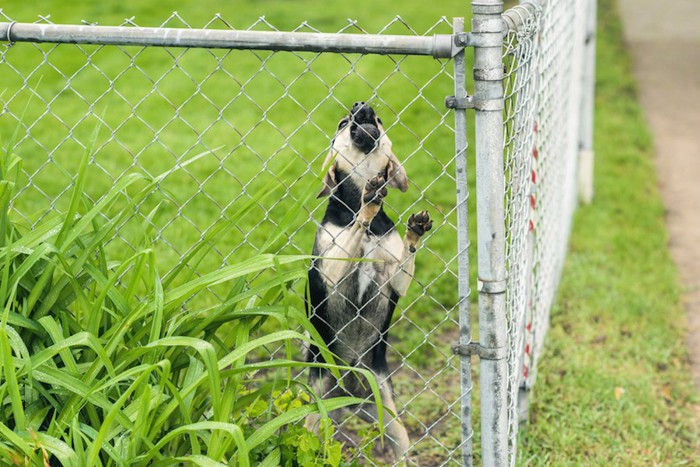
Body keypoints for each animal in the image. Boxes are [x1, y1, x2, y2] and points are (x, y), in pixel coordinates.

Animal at [306, 100, 432, 462]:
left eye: (378, 118)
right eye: (341, 122)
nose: (361, 104)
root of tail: (350, 396)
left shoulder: (395, 281)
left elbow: (404, 256)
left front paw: (414, 232)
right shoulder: (332, 272)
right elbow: (356, 226)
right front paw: (368, 203)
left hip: (391, 420)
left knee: (400, 446)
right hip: (314, 412)